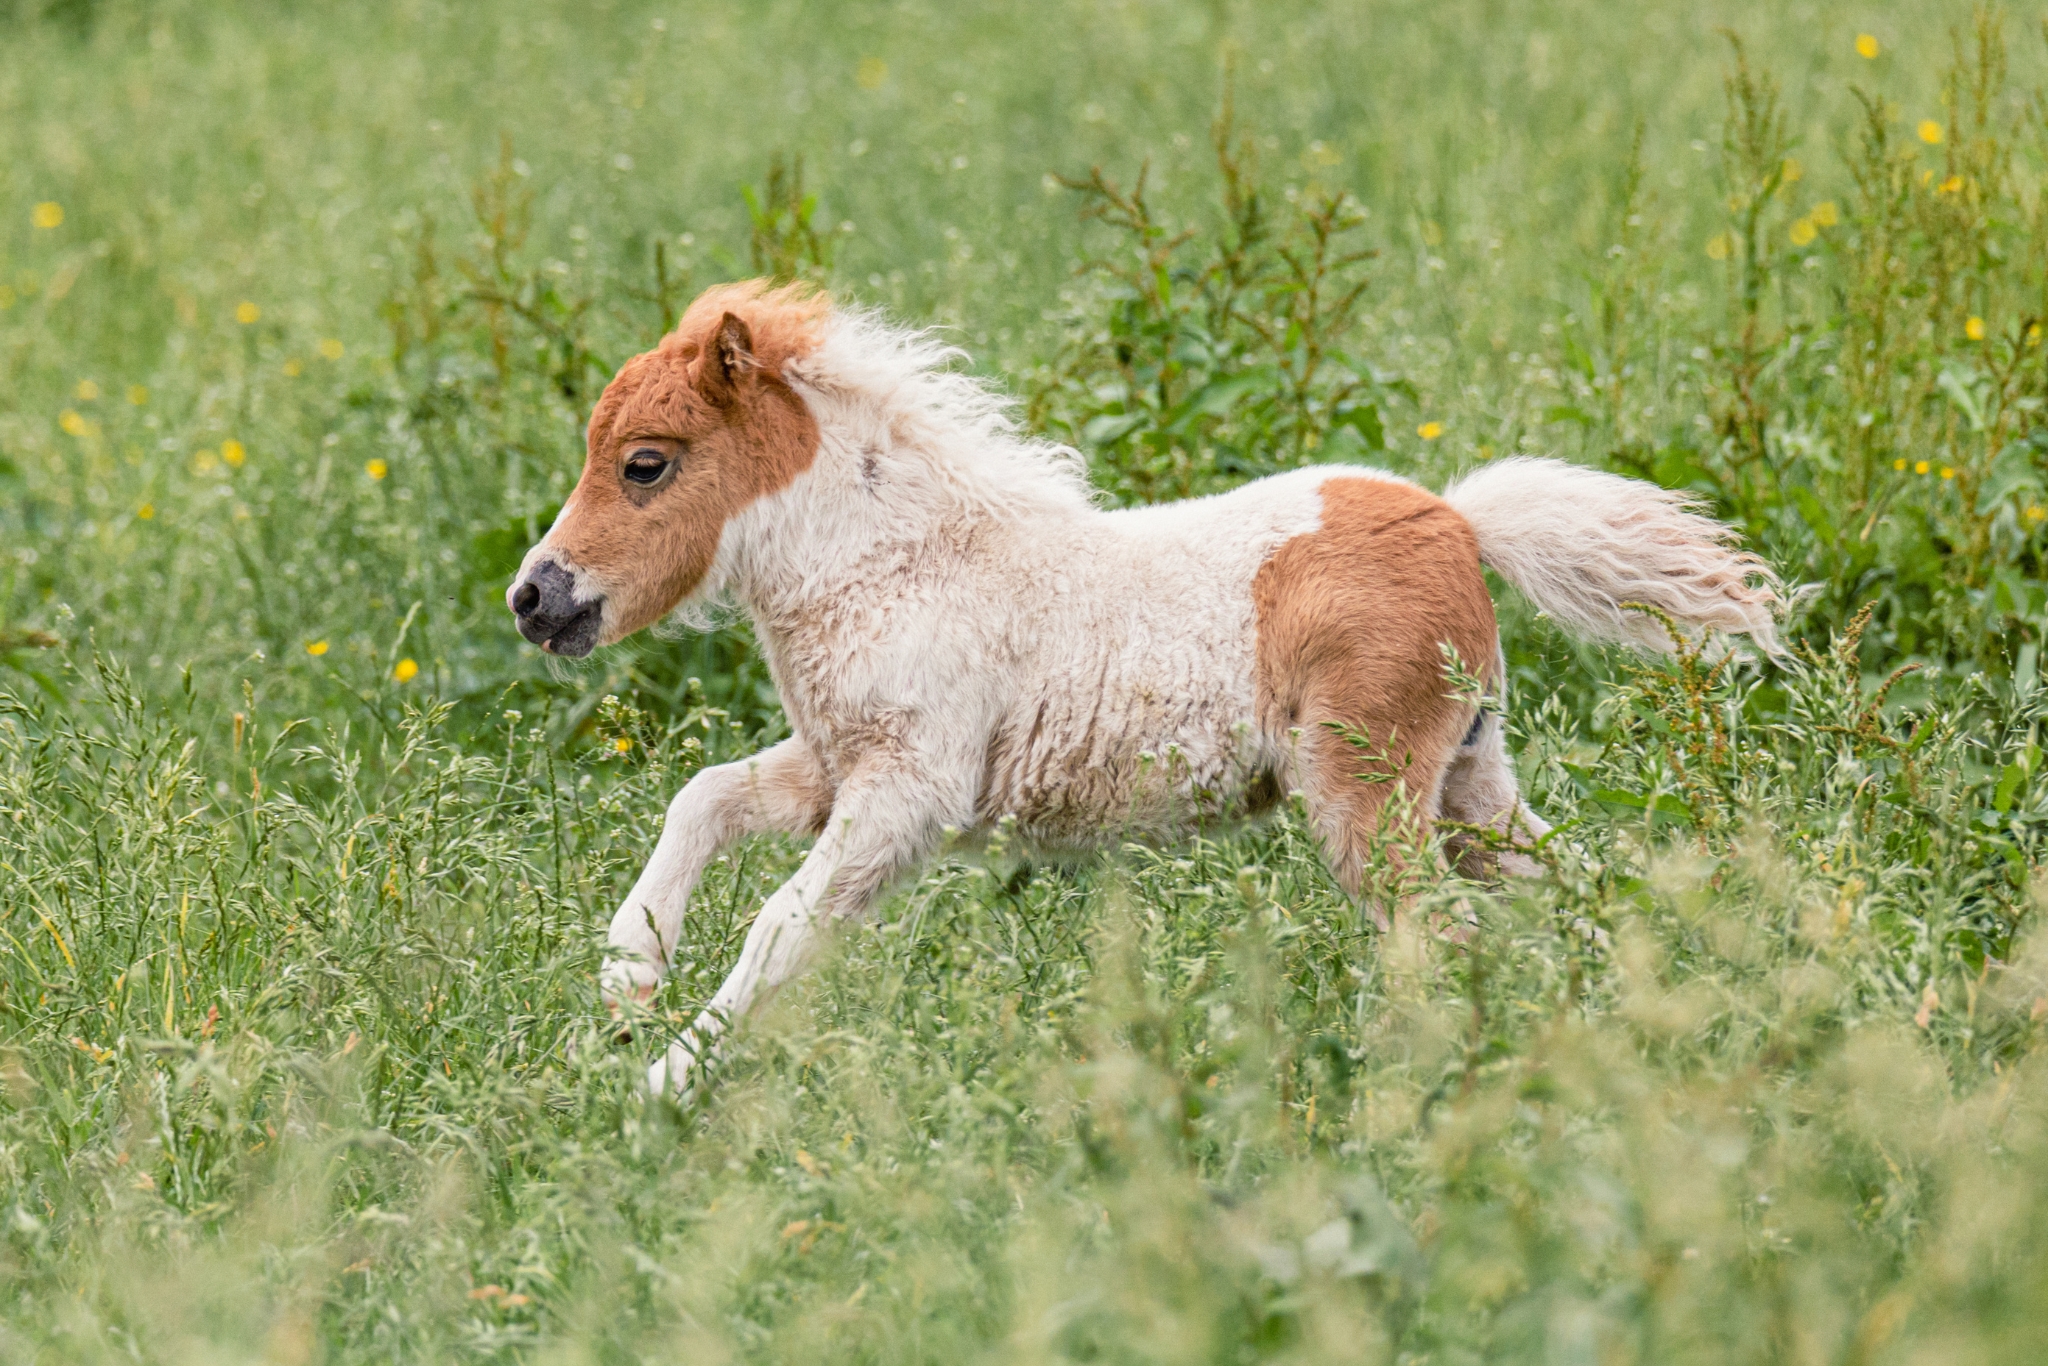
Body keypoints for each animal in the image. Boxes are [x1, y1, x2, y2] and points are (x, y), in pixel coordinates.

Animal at [507, 279, 1782, 1097]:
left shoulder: (907, 794)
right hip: (1469, 781)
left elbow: (781, 923)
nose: (534, 596)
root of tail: (1458, 520)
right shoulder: (834, 764)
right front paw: (626, 981)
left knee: (1446, 933)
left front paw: (657, 1088)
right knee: (1572, 893)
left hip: (1364, 794)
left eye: (644, 464)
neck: (897, 565)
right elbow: (702, 798)